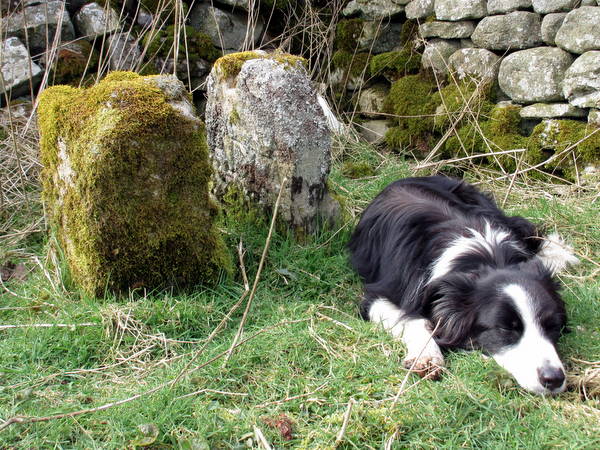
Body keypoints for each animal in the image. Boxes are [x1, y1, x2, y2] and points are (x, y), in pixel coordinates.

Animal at [350, 176, 580, 394]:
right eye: (504, 329)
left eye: (553, 325)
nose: (554, 379)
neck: (486, 258)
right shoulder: (378, 295)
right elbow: (412, 320)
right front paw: (427, 358)